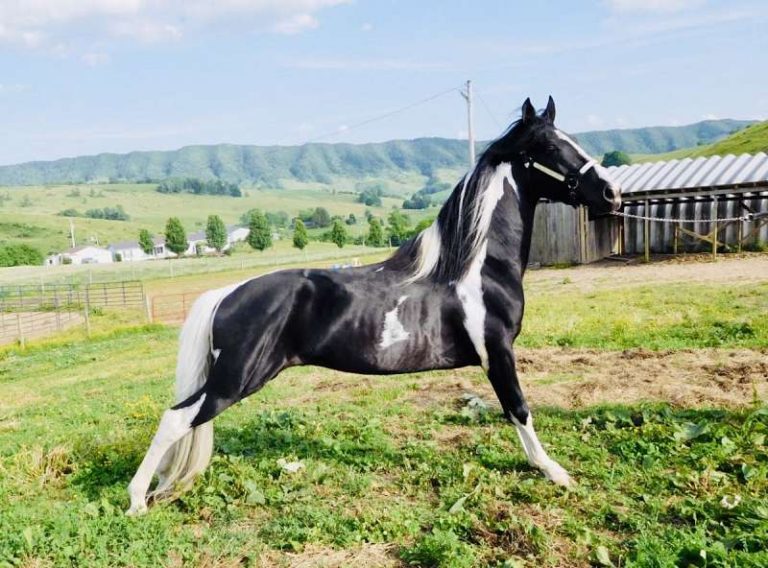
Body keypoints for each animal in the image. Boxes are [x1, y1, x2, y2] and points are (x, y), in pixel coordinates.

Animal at [126, 96, 622, 515]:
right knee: (176, 419)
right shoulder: (497, 352)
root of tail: (226, 295)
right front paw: (554, 472)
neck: (473, 267)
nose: (611, 194)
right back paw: (136, 501)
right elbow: (519, 408)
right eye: (552, 147)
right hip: (234, 379)